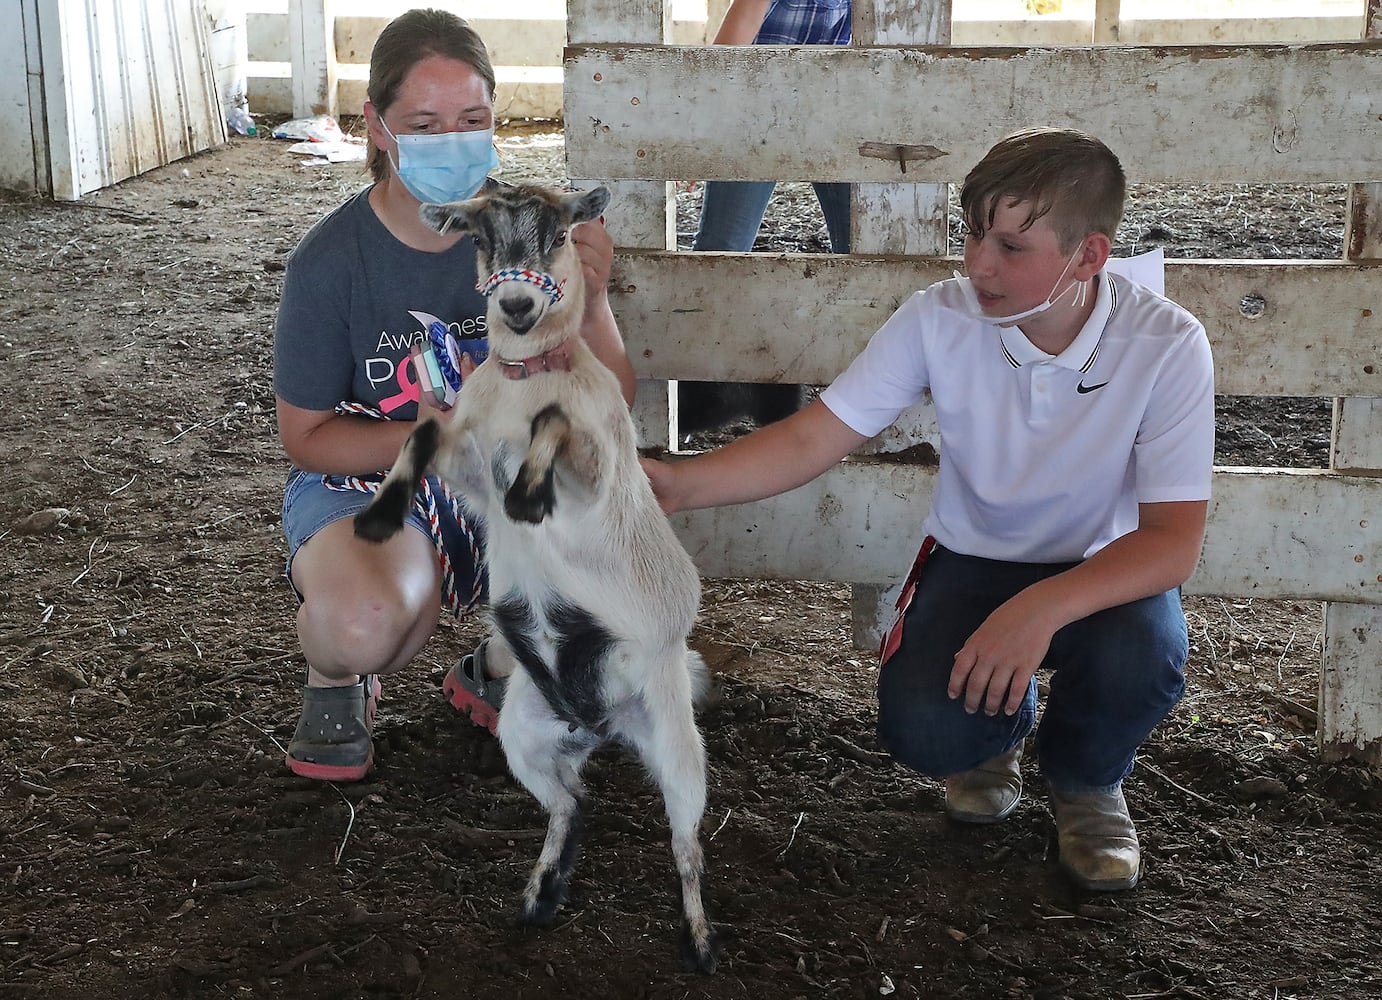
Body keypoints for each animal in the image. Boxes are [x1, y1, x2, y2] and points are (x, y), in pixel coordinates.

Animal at [353, 183, 724, 972]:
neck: (524, 380)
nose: (519, 307)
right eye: (480, 239)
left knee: (685, 839)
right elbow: (422, 433)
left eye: (558, 234)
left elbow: (554, 424)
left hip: (677, 738)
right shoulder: (466, 467)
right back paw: (539, 896)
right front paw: (379, 516)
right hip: (522, 732)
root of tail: (600, 722)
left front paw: (528, 494)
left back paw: (701, 941)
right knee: (570, 802)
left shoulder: (594, 473)